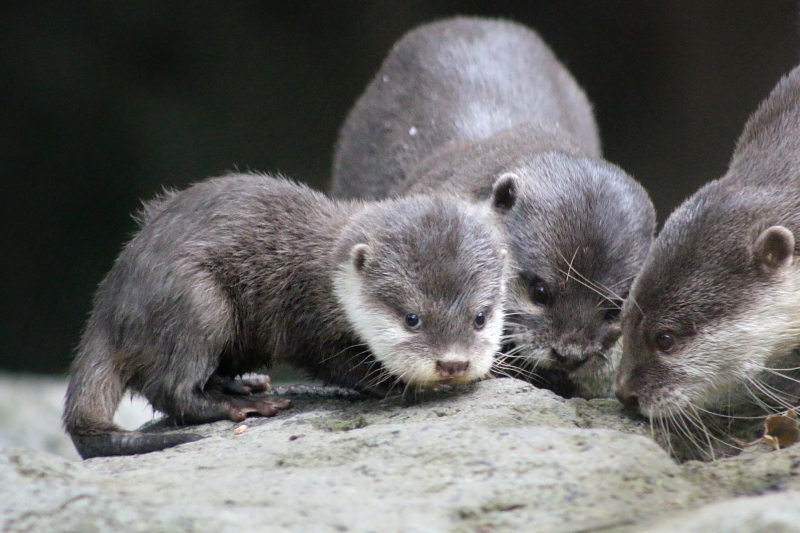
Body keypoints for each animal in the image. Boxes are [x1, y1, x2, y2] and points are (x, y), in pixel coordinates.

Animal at [64, 173, 508, 459]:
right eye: (411, 318)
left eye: (480, 317)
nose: (452, 364)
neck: (324, 276)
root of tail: (108, 310)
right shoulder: (307, 322)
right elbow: (342, 366)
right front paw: (407, 386)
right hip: (197, 303)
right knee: (171, 388)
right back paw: (244, 406)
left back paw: (245, 385)